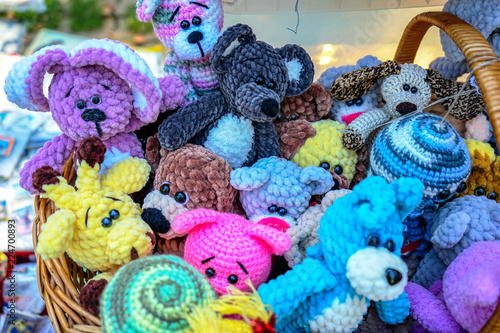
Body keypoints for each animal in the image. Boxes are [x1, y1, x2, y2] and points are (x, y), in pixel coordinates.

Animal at [2, 39, 176, 195]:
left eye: (96, 99)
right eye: (79, 104)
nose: (92, 114)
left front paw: (176, 86)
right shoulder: (69, 140)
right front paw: (28, 176)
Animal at [157, 23, 312, 167]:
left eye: (273, 85)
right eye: (259, 79)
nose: (272, 106)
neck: (240, 114)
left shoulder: (263, 126)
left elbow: (268, 145)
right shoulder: (217, 101)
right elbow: (192, 114)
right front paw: (169, 134)